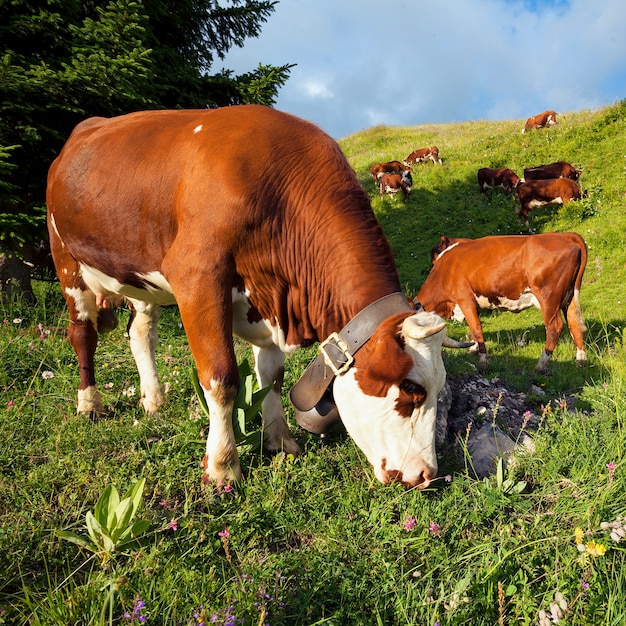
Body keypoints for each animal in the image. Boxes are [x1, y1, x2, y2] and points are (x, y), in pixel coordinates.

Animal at [46, 105, 466, 488]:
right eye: (411, 390)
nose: (425, 475)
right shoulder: (196, 276)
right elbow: (221, 379)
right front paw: (221, 466)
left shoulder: (269, 302)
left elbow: (272, 376)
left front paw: (280, 441)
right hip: (66, 259)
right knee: (82, 334)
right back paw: (89, 403)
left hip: (137, 272)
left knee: (140, 332)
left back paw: (153, 399)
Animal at [416, 234, 588, 370]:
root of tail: (564, 235)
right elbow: (472, 327)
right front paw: (473, 349)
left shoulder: (465, 299)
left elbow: (477, 329)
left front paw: (483, 361)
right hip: (569, 298)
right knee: (574, 324)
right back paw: (580, 361)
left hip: (548, 298)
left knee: (554, 328)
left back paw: (540, 365)